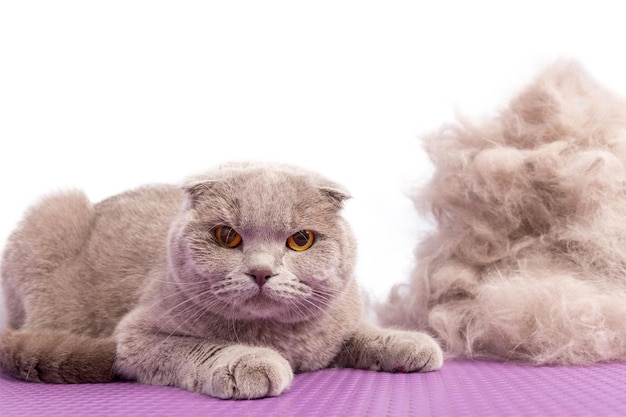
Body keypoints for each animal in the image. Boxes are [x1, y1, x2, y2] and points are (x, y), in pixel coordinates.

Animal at [0, 162, 442, 396]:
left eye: (300, 240)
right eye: (226, 236)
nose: (261, 271)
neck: (278, 337)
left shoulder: (335, 320)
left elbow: (360, 332)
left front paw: (410, 343)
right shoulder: (136, 337)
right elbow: (198, 347)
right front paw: (251, 362)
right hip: (52, 215)